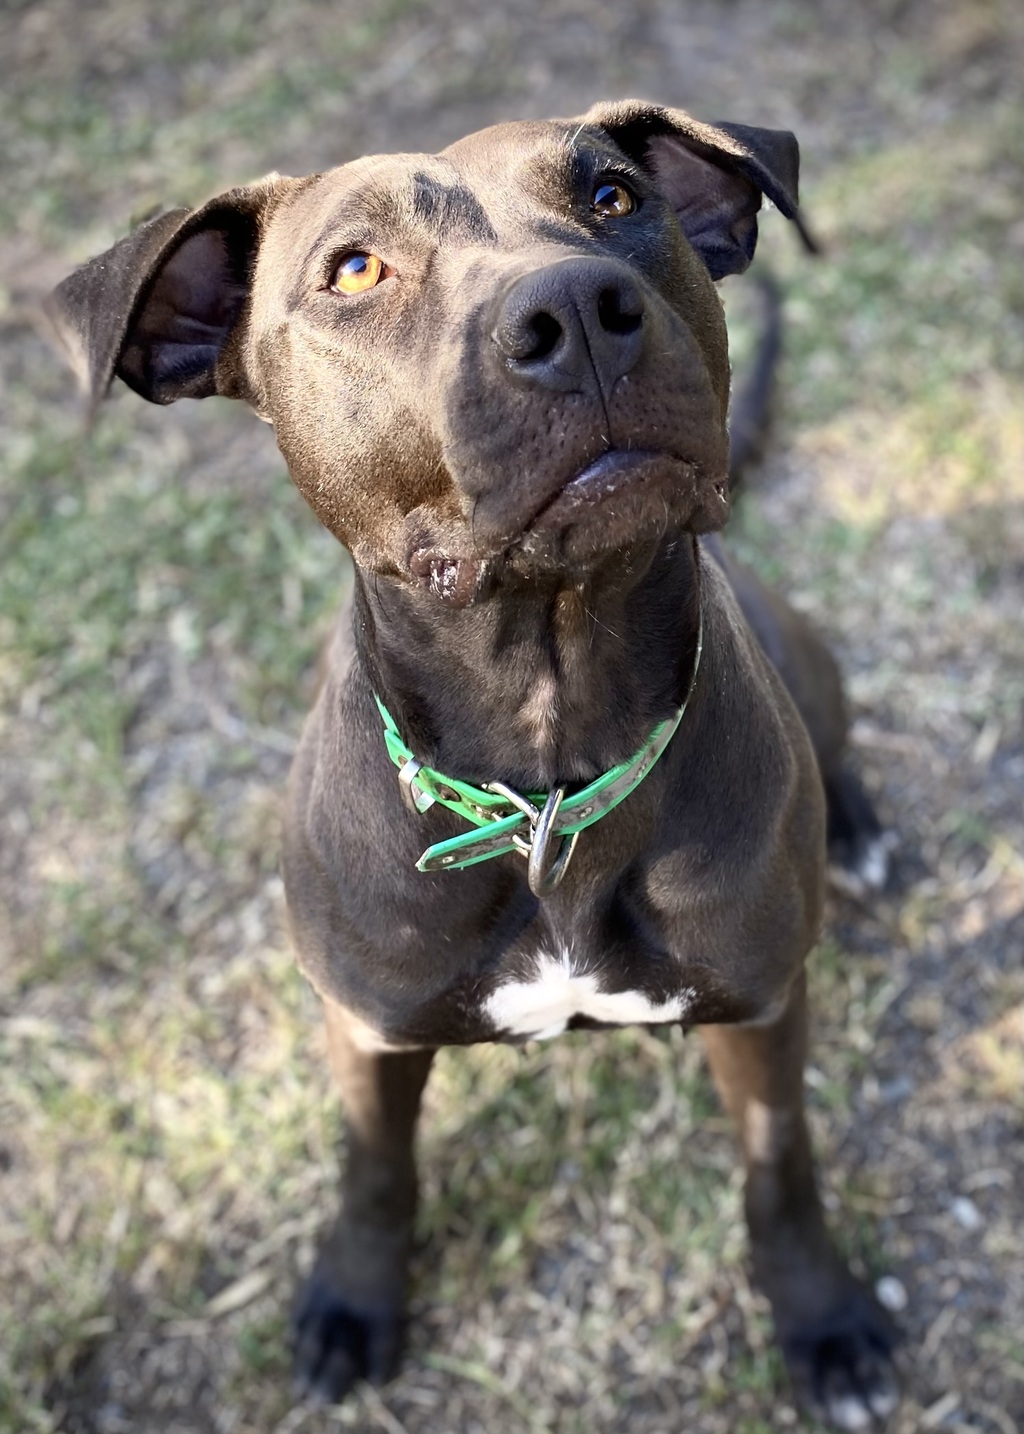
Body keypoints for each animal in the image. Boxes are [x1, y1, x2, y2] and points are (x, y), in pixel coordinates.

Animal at [49, 100, 897, 1429]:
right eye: (354, 270)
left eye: (612, 196)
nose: (577, 310)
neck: (545, 757)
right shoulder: (366, 1031)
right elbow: (375, 1173)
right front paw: (353, 1304)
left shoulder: (763, 1006)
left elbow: (781, 1164)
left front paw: (821, 1320)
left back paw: (854, 830)